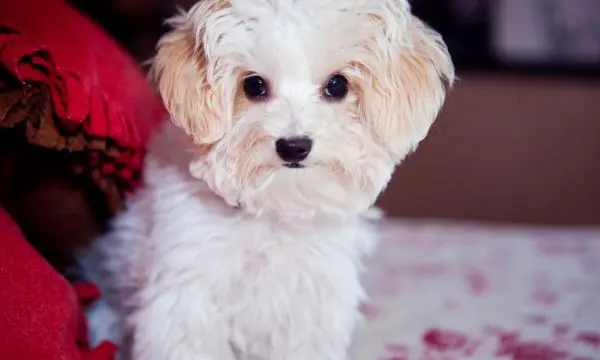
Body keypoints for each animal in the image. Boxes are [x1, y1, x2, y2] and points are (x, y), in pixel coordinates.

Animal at [85, 0, 454, 358]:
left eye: (337, 85)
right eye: (254, 85)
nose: (294, 146)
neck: (273, 212)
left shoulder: (310, 309)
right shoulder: (186, 305)